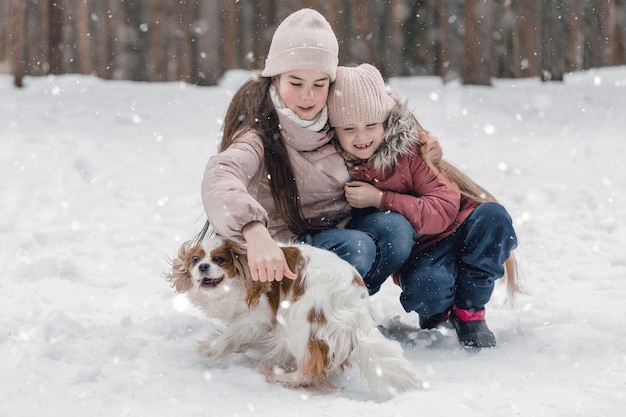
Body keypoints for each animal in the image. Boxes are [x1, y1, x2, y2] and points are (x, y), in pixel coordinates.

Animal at [166, 232, 422, 398]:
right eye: (195, 260)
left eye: (219, 259)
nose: (202, 267)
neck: (240, 277)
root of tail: (355, 301)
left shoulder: (259, 316)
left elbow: (232, 331)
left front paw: (211, 347)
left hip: (297, 320)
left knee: (311, 367)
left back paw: (280, 376)